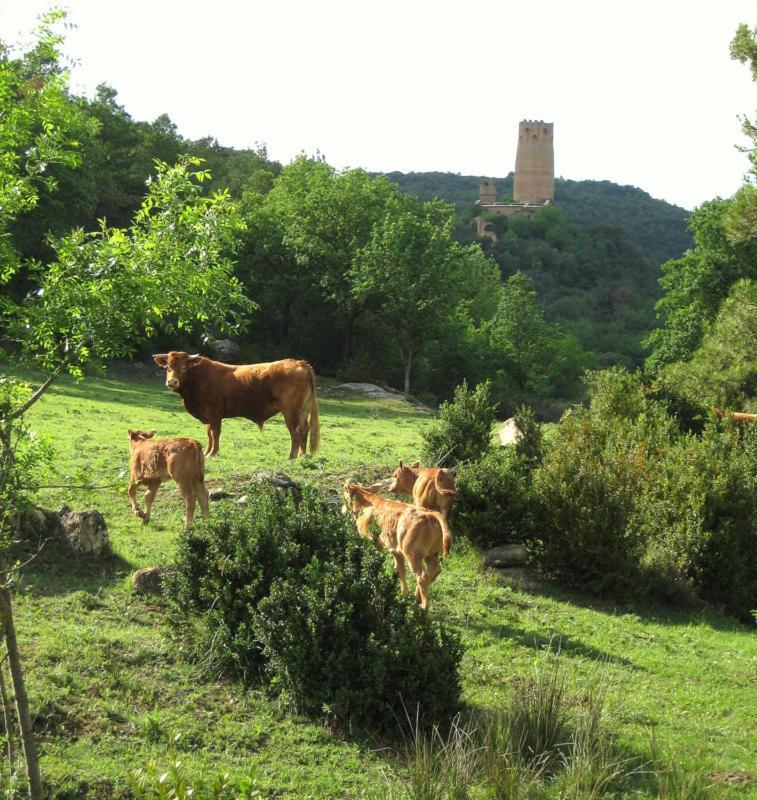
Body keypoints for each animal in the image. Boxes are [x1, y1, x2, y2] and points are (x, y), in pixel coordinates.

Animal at [154, 352, 318, 460]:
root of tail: (299, 363)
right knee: (305, 429)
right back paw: (302, 455)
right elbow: (209, 434)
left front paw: (213, 453)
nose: (172, 382)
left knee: (296, 432)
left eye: (184, 368)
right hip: (302, 411)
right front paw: (207, 452)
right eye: (168, 367)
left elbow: (215, 432)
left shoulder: (214, 412)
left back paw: (292, 456)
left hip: (291, 411)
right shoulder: (207, 415)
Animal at [344, 482, 454, 612]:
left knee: (422, 576)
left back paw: (423, 607)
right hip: (431, 554)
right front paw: (404, 594)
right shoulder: (395, 550)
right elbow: (400, 569)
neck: (366, 503)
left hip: (412, 555)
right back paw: (417, 596)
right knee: (435, 571)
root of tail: (429, 513)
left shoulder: (371, 541)